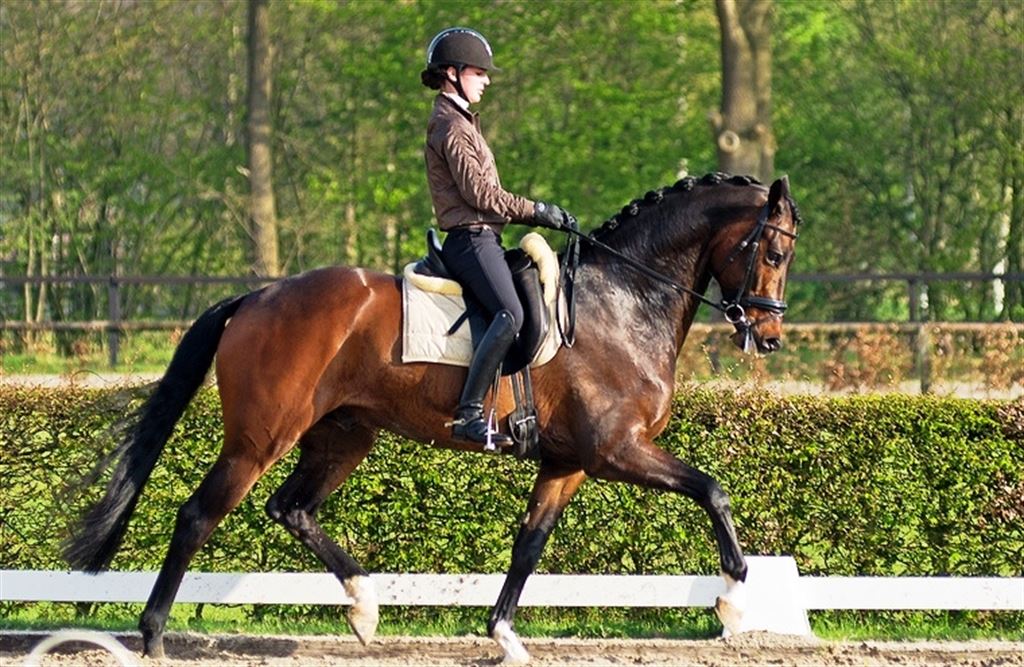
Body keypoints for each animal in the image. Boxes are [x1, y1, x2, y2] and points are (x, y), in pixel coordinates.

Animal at [64, 172, 801, 664]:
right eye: (773, 252)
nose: (767, 337)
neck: (622, 299)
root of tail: (259, 295)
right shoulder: (616, 449)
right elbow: (713, 490)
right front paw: (734, 601)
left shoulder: (568, 463)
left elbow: (529, 543)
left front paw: (503, 634)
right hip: (260, 437)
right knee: (199, 514)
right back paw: (153, 636)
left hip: (344, 434)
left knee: (290, 508)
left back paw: (364, 608)